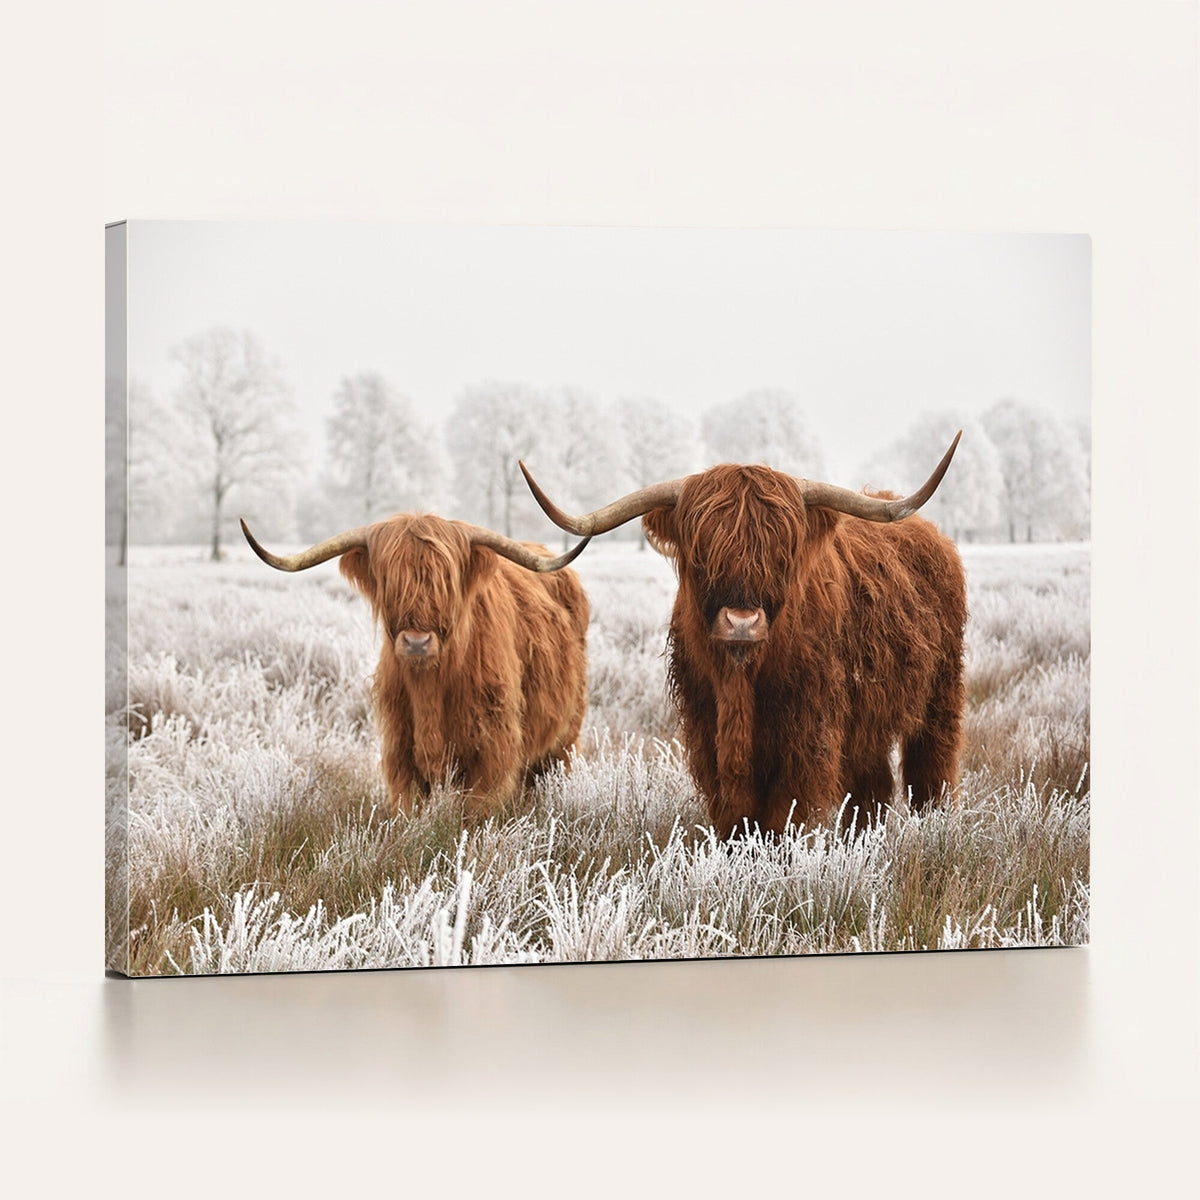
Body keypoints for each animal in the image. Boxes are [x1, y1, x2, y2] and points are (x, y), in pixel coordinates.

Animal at [241, 514, 591, 820]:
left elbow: (476, 812)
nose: (417, 642)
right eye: (389, 580)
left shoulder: (492, 748)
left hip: (565, 734)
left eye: (446, 580)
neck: (430, 686)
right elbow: (410, 809)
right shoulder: (400, 748)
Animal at [519, 435, 966, 837]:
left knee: (931, 768)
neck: (741, 681)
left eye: (782, 553)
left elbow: (785, 815)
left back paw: (934, 827)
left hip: (940, 695)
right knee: (872, 787)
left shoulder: (808, 734)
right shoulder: (706, 730)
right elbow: (735, 816)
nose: (741, 622)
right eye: (701, 553)